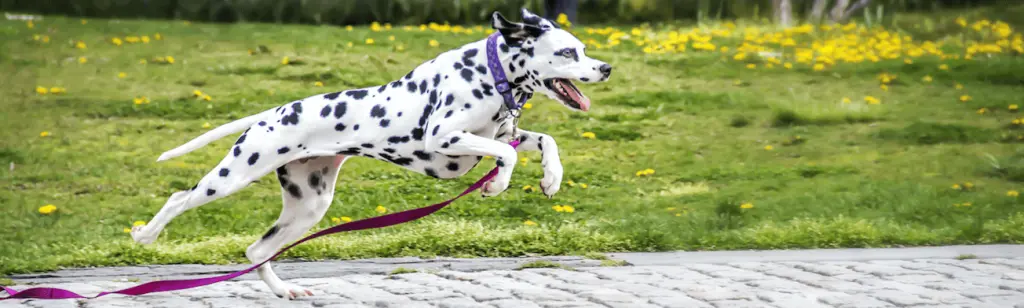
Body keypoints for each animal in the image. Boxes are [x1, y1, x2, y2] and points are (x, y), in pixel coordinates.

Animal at [128, 9, 606, 296]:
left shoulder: (505, 131)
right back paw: (146, 234)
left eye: (582, 49)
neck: (491, 74)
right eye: (568, 52)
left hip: (309, 206)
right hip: (234, 176)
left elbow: (541, 141)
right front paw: (499, 184)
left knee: (256, 251)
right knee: (181, 198)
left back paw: (285, 291)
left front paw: (552, 177)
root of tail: (275, 112)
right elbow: (506, 154)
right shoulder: (443, 139)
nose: (605, 67)